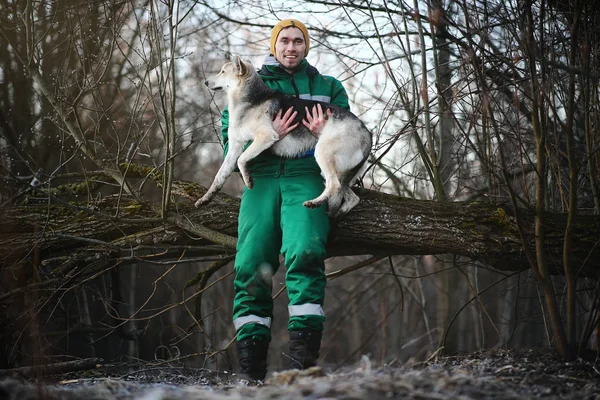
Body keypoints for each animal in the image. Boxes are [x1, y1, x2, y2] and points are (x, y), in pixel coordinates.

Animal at [196, 55, 370, 217]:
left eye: (223, 72)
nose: (205, 82)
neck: (251, 99)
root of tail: (367, 133)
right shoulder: (234, 147)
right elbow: (219, 177)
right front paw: (206, 198)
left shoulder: (265, 137)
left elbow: (242, 160)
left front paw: (248, 179)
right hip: (339, 171)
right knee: (352, 197)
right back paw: (338, 213)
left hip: (323, 154)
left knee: (334, 186)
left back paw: (314, 203)